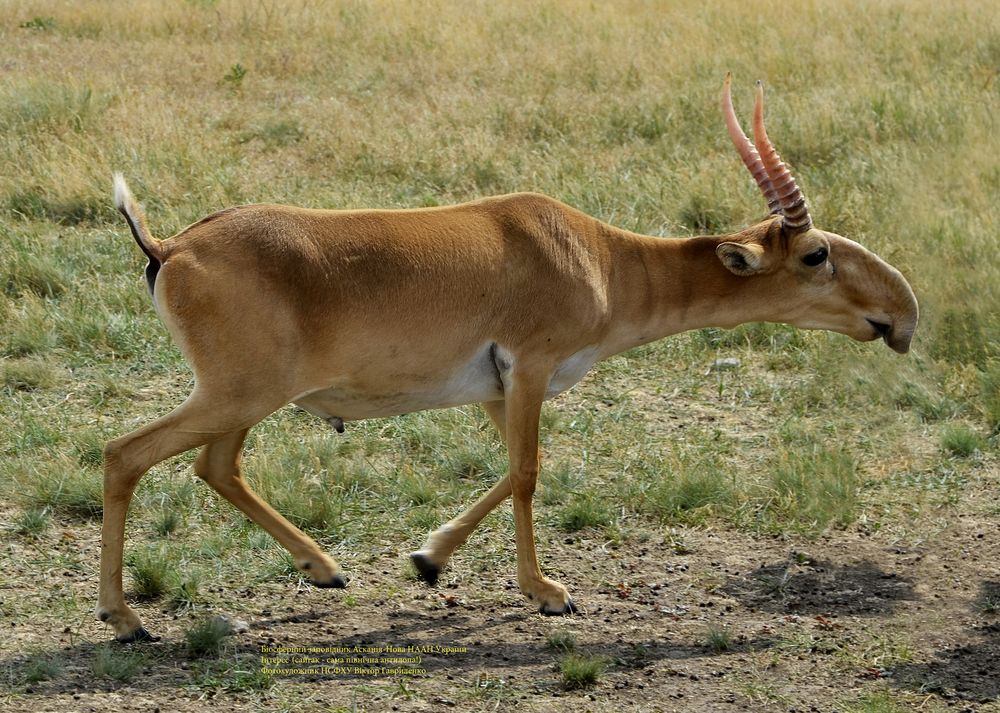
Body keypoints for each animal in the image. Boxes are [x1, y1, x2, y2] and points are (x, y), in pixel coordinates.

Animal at [99, 78, 916, 640]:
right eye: (816, 254)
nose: (902, 317)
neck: (595, 254)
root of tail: (172, 247)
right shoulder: (530, 368)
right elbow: (527, 473)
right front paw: (548, 591)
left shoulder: (499, 388)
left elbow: (506, 471)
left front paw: (429, 559)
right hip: (237, 395)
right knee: (124, 453)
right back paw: (128, 619)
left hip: (244, 401)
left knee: (215, 466)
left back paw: (324, 569)